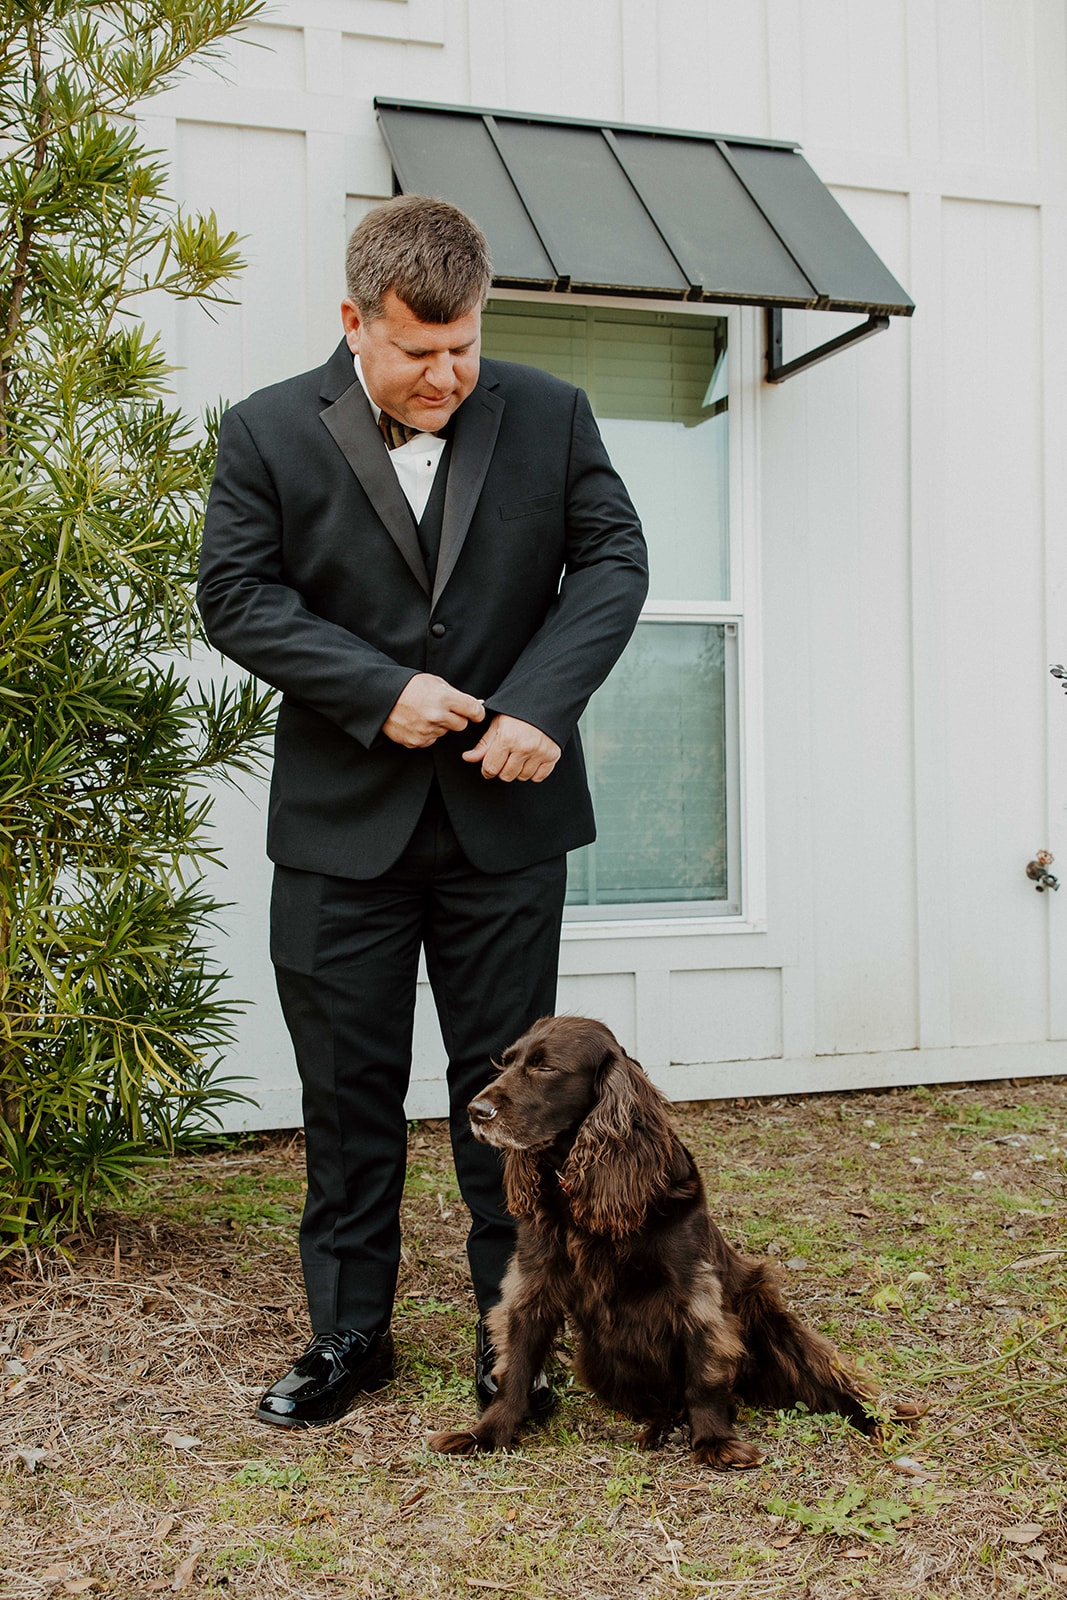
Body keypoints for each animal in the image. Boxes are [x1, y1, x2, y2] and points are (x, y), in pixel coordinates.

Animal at [428, 1017, 889, 1465]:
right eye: (505, 1063)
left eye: (546, 1068)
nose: (475, 1110)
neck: (586, 1181)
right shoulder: (532, 1283)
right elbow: (518, 1366)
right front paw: (486, 1433)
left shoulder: (694, 1292)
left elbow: (704, 1373)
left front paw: (715, 1440)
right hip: (603, 1360)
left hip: (771, 1324)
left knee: (827, 1380)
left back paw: (881, 1419)